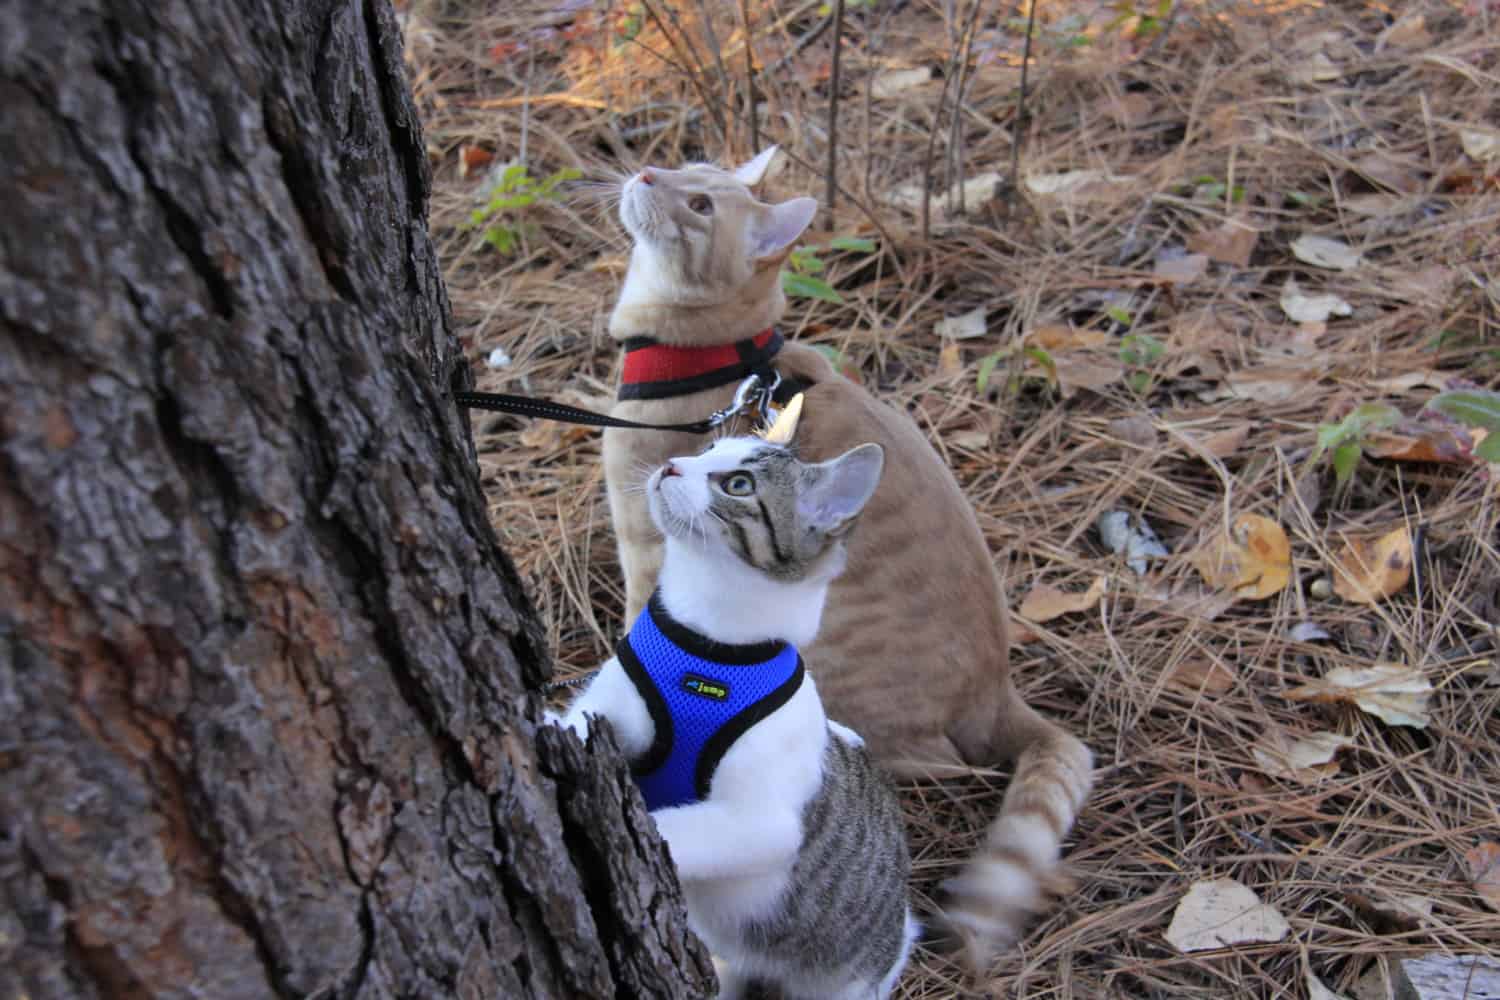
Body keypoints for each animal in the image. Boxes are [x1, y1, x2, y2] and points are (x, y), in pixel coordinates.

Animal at [549, 404, 906, 1000]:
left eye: (738, 484)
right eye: (707, 451)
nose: (671, 464)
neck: (707, 644)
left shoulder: (763, 820)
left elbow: (672, 827)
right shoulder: (612, 700)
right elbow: (573, 722)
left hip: (850, 980)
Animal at [597, 144, 1092, 965]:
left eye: (700, 205)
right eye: (687, 165)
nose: (643, 175)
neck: (705, 358)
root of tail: (999, 693)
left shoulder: (648, 547)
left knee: (932, 764)